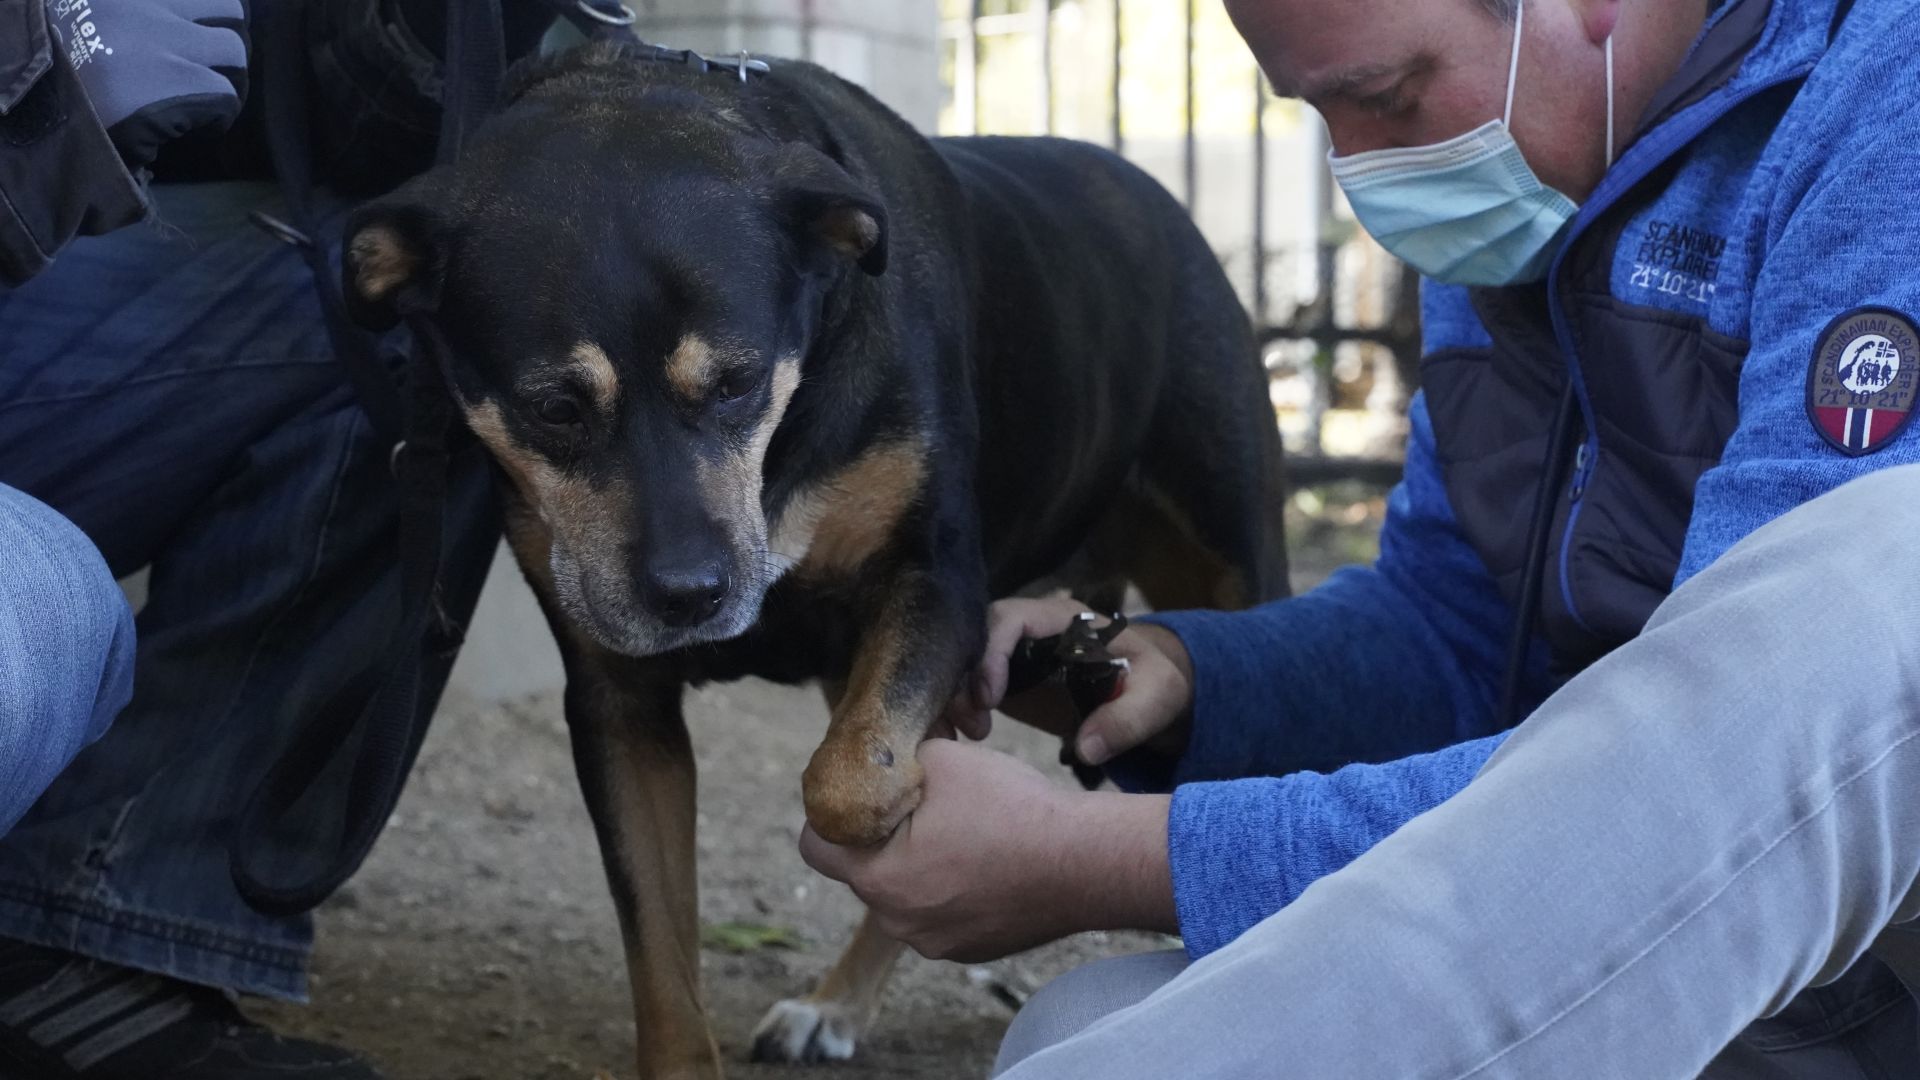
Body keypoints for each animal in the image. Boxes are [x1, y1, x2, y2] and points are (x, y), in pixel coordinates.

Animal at [345, 42, 1290, 1076]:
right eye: (552, 408)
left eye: (738, 380)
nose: (690, 596)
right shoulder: (617, 701)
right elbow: (661, 961)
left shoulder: (935, 583)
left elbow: (847, 785)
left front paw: (902, 816)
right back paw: (840, 999)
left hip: (1229, 553)